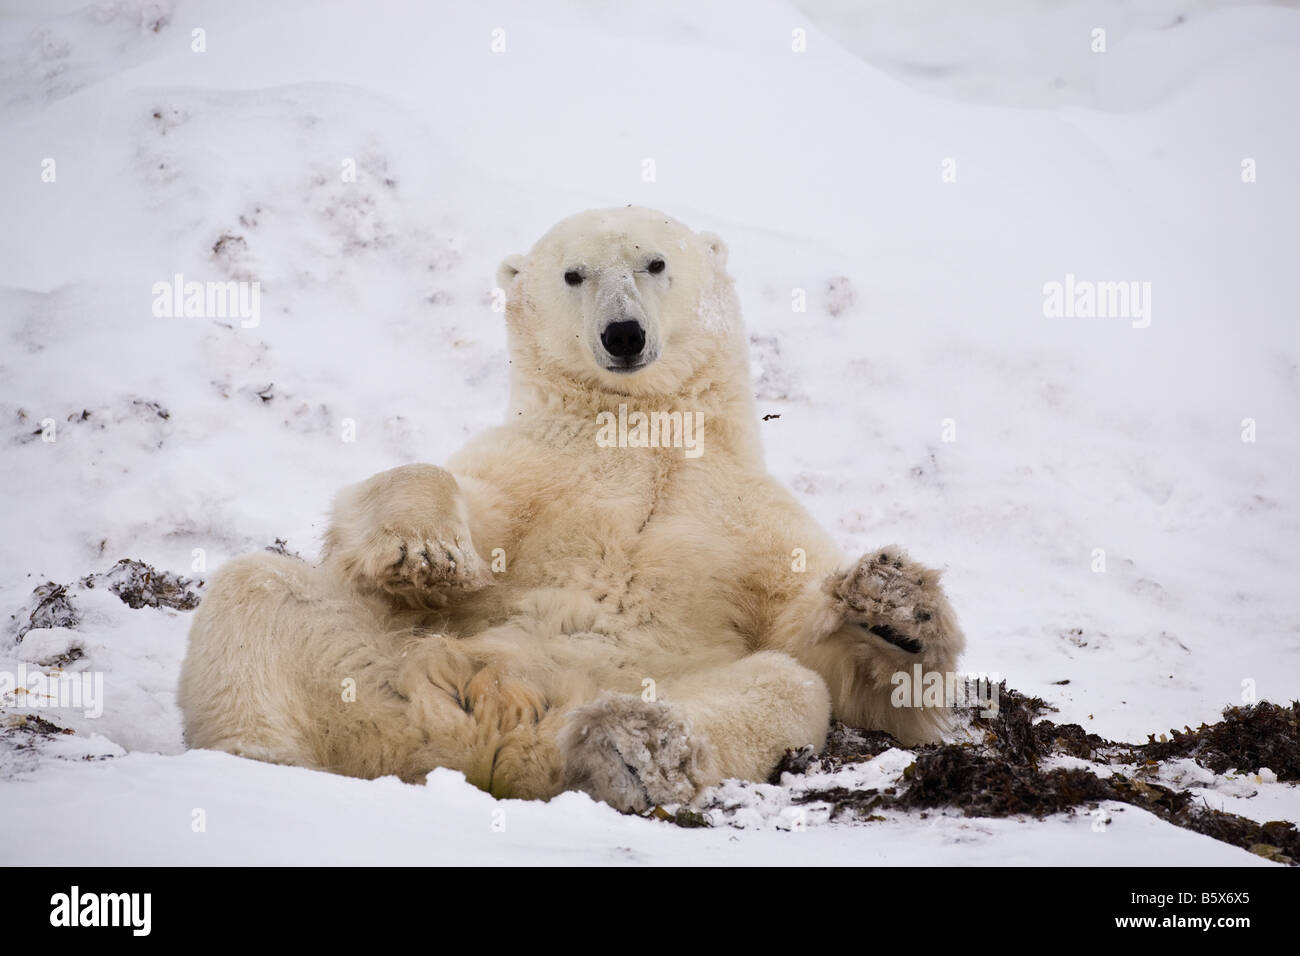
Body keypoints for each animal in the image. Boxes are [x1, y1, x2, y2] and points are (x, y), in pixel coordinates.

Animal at [178, 205, 961, 811]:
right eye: (573, 274)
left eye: (653, 262)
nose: (623, 334)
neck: (638, 429)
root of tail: (492, 736)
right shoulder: (539, 471)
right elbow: (439, 506)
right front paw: (425, 552)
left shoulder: (737, 512)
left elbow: (824, 652)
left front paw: (895, 608)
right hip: (385, 671)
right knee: (256, 591)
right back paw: (259, 764)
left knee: (783, 688)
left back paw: (630, 749)